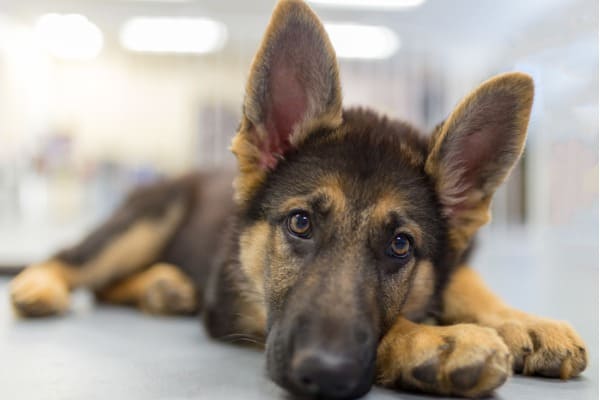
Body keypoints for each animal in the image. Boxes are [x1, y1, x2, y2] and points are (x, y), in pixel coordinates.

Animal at [9, 1, 588, 398]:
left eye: (401, 246)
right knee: (76, 263)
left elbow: (466, 283)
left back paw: (163, 287)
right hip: (147, 220)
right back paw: (42, 284)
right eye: (301, 223)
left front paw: (522, 322)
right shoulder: (240, 303)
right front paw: (432, 341)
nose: (325, 372)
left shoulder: (452, 260)